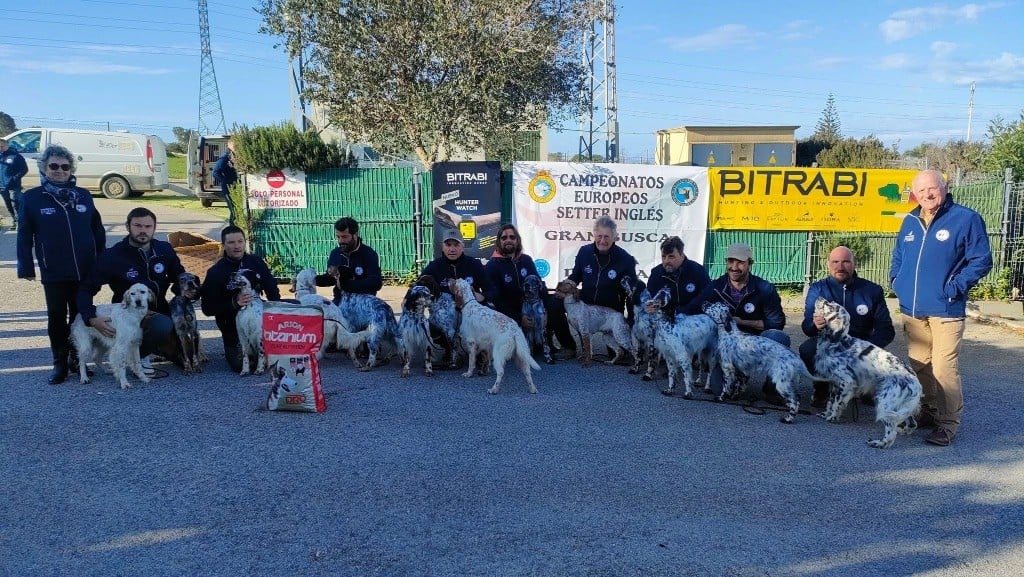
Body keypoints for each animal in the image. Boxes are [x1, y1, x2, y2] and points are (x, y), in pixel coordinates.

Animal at [811, 297, 925, 450]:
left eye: (829, 306)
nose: (819, 298)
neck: (836, 341)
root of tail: (916, 383)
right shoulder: (834, 382)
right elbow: (830, 401)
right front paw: (826, 414)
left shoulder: (846, 382)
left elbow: (836, 402)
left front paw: (832, 417)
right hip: (902, 406)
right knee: (912, 424)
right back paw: (901, 430)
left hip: (885, 402)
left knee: (891, 432)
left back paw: (879, 443)